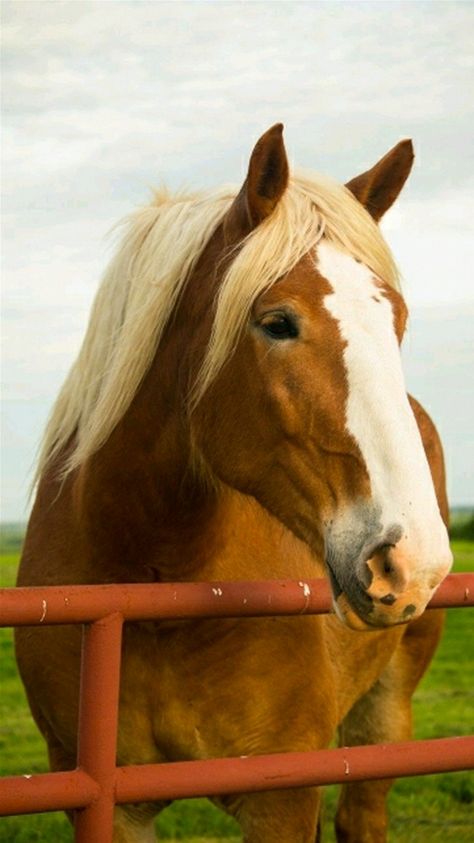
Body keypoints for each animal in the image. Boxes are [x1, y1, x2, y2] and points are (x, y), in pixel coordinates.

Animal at [14, 127, 452, 843]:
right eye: (277, 323)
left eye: (398, 321)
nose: (411, 562)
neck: (157, 586)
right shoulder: (109, 801)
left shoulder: (282, 795)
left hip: (386, 710)